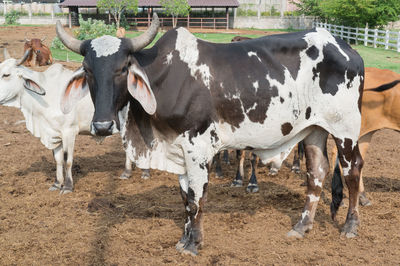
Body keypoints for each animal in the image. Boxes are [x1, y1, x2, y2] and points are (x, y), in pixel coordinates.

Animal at [0, 48, 136, 192]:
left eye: (6, 75)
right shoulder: (55, 134)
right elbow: (58, 160)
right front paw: (57, 183)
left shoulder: (69, 132)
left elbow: (67, 160)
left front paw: (68, 186)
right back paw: (128, 171)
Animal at [56, 15, 366, 256]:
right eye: (88, 70)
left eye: (122, 69)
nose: (102, 126)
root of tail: (345, 47)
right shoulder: (179, 149)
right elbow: (185, 198)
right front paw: (184, 240)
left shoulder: (198, 147)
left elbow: (197, 198)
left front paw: (194, 244)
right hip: (314, 130)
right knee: (317, 173)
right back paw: (302, 226)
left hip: (345, 130)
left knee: (352, 171)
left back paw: (351, 226)